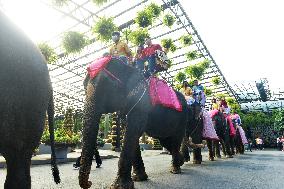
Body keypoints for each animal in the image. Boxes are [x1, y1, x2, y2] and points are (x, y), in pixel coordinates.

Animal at [79, 57, 191, 189]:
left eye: (108, 86)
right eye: (84, 86)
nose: (90, 183)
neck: (131, 67)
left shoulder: (142, 103)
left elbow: (133, 130)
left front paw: (119, 186)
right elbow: (130, 132)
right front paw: (139, 178)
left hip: (183, 118)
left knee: (176, 139)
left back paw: (175, 169)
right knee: (167, 141)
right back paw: (181, 161)